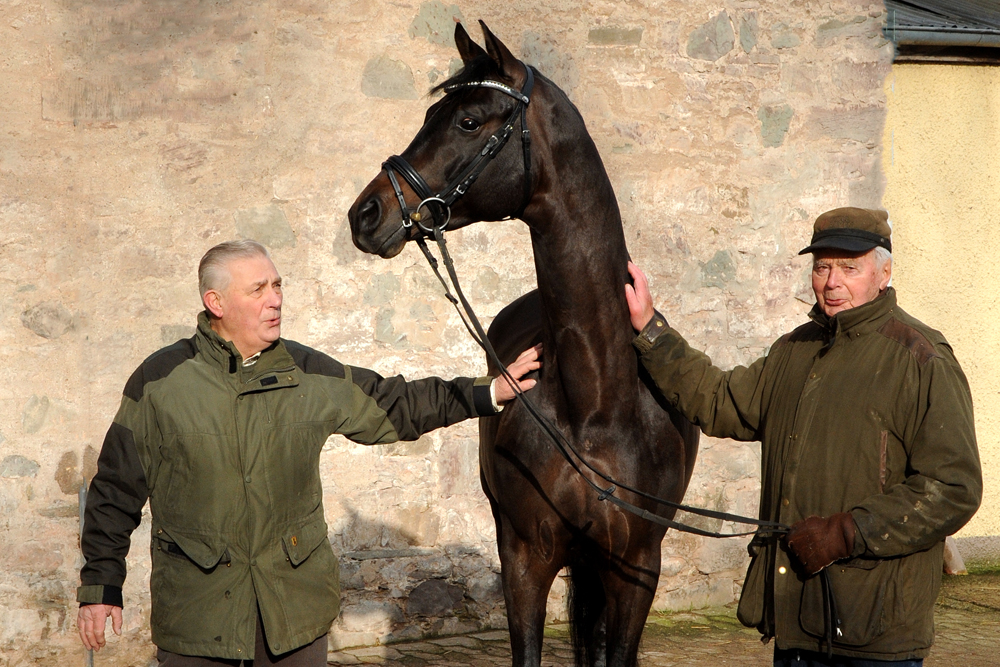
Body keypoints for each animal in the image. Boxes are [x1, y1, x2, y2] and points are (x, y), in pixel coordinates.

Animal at [348, 22, 700, 667]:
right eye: (431, 114)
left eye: (468, 121)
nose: (367, 213)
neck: (595, 404)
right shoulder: (524, 558)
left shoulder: (637, 568)